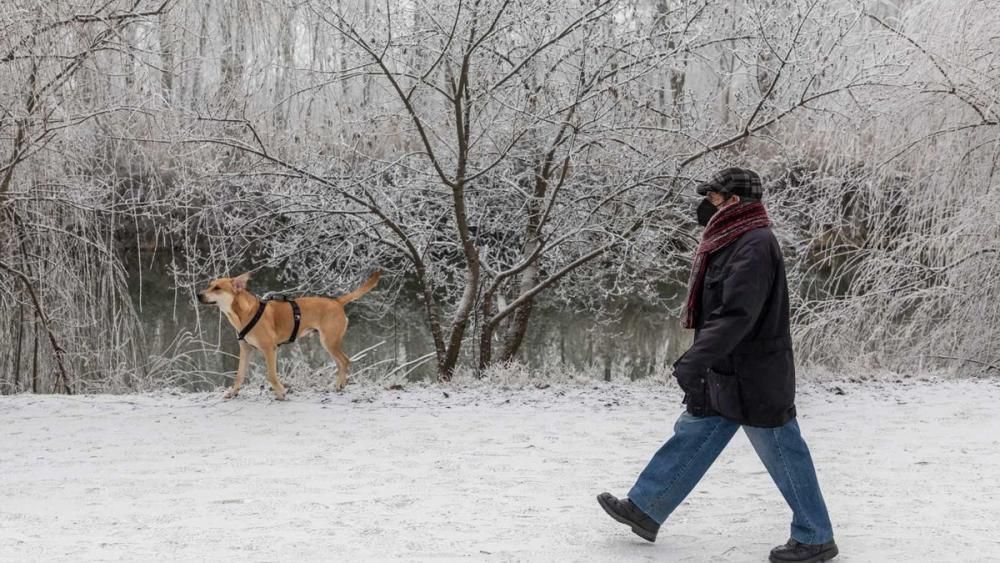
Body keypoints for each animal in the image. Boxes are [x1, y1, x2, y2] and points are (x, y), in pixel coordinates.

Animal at [197, 270, 380, 398]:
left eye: (217, 288)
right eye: (209, 285)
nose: (198, 294)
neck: (244, 313)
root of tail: (337, 302)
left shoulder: (269, 349)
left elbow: (271, 375)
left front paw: (280, 393)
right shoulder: (245, 349)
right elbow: (240, 375)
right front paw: (233, 393)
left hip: (329, 341)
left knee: (345, 360)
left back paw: (339, 385)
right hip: (329, 343)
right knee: (341, 363)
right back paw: (338, 384)